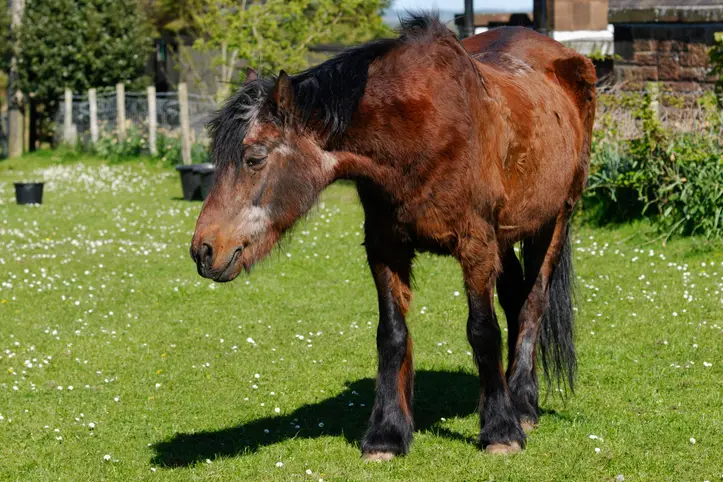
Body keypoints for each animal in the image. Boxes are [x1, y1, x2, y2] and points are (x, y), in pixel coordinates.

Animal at [190, 14, 596, 459]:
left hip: (555, 219)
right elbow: (392, 334)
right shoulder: (385, 247)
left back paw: (521, 403)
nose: (203, 250)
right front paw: (387, 433)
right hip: (506, 234)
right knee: (514, 299)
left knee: (532, 304)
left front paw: (501, 430)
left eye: (254, 158)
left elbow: (482, 331)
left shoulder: (476, 246)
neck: (421, 131)